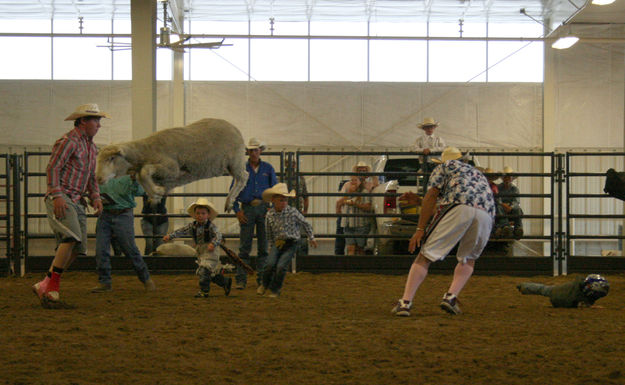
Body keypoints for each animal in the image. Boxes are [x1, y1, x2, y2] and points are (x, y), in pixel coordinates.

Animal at [96, 118, 247, 212]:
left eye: (111, 158)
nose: (98, 178)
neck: (146, 150)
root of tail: (235, 128)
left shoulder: (172, 168)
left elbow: (144, 172)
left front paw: (157, 191)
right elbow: (140, 175)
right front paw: (155, 195)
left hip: (235, 161)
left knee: (244, 177)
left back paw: (230, 200)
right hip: (227, 166)